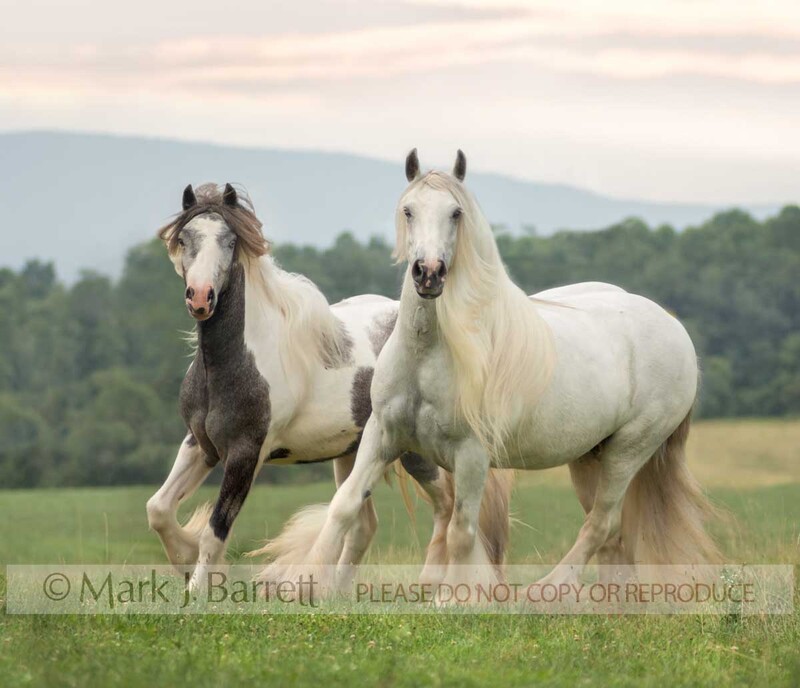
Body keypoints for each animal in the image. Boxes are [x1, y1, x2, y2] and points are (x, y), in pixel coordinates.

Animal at [144, 182, 513, 591]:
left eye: (229, 240)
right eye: (184, 238)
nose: (200, 297)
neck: (234, 363)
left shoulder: (245, 454)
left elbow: (215, 532)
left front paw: (196, 589)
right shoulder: (200, 445)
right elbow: (158, 508)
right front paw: (184, 558)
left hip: (412, 452)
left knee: (445, 506)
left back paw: (428, 582)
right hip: (354, 453)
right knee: (364, 524)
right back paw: (335, 591)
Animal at [259, 150, 722, 599]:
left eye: (456, 212)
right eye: (408, 210)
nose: (429, 273)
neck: (428, 357)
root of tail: (675, 329)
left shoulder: (472, 456)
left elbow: (462, 532)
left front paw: (454, 598)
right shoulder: (383, 435)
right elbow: (346, 505)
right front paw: (301, 584)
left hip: (628, 451)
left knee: (600, 524)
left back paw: (544, 593)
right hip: (591, 455)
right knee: (613, 536)